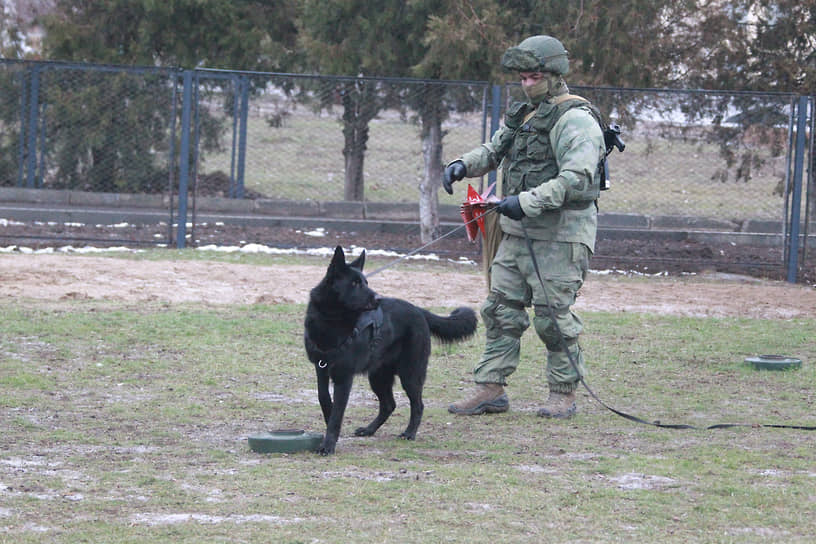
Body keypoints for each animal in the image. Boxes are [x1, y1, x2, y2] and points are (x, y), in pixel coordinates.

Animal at [302, 248, 474, 454]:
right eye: (355, 283)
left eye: (366, 282)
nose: (378, 299)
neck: (331, 319)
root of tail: (419, 310)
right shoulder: (321, 369)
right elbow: (324, 399)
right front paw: (329, 426)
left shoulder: (344, 377)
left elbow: (337, 413)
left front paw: (328, 445)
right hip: (378, 376)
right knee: (388, 405)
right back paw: (369, 430)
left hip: (410, 374)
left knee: (418, 405)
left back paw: (409, 433)